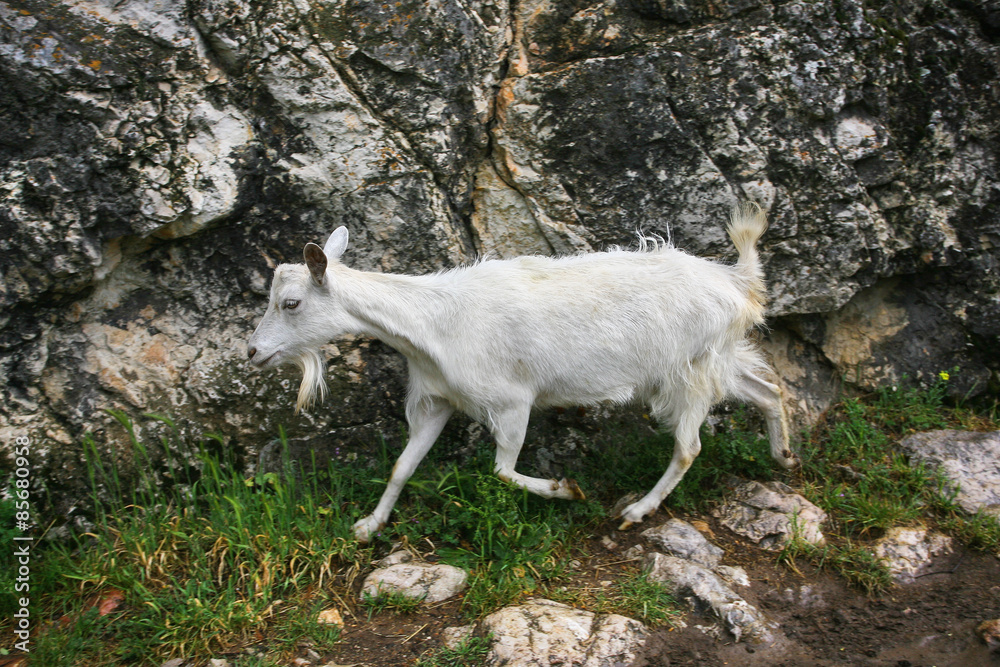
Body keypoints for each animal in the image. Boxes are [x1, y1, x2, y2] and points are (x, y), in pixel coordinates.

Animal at [247, 204, 795, 542]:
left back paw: (638, 510)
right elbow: (403, 465)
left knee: (688, 447)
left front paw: (565, 490)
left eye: (291, 303)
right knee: (768, 389)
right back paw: (784, 456)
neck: (432, 322)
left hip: (689, 371)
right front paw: (369, 526)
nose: (252, 352)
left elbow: (501, 470)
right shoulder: (438, 400)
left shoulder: (511, 402)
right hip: (719, 357)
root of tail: (739, 284)